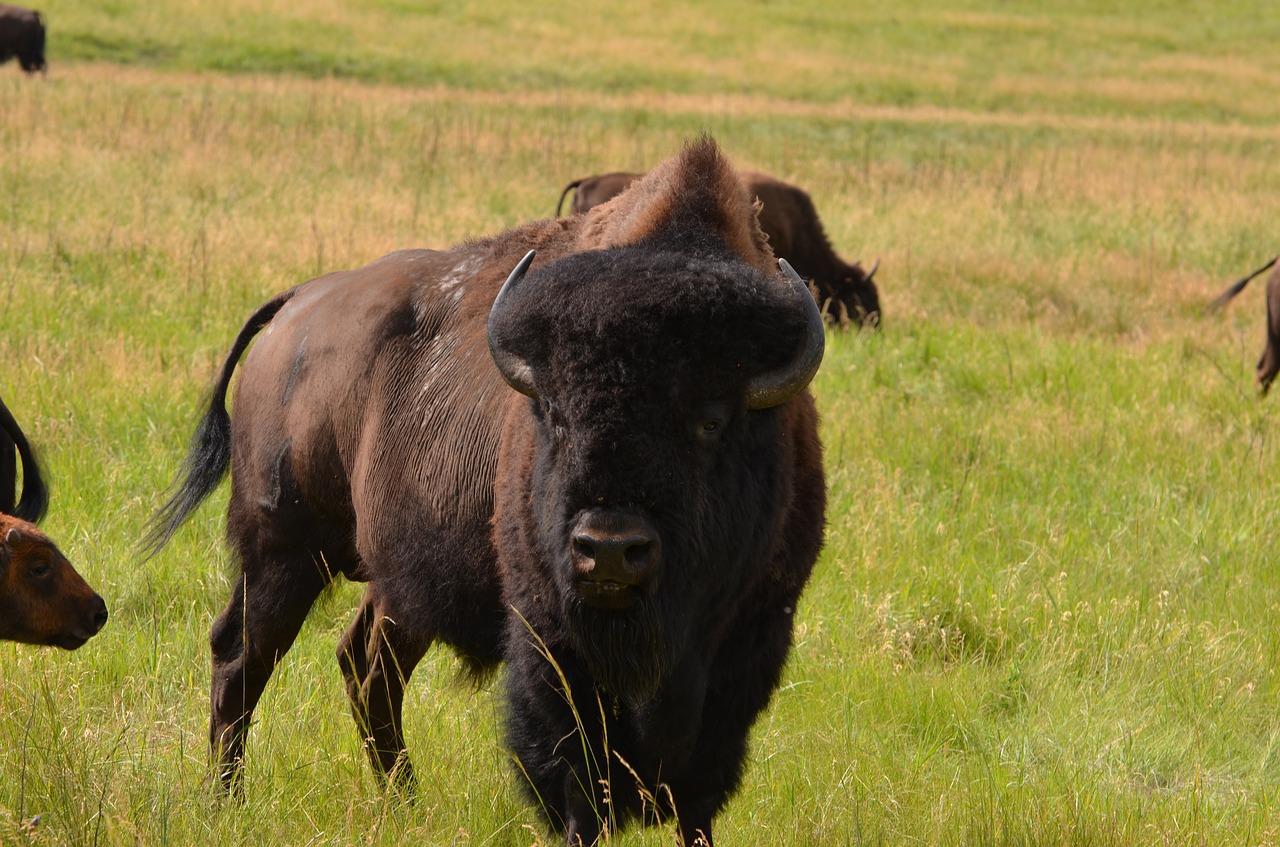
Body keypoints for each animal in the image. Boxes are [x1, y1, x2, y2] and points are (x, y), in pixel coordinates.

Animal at [147, 136, 829, 844]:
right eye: (554, 411)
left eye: (711, 420)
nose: (609, 550)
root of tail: (297, 305)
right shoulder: (549, 643)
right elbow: (575, 767)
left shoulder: (746, 643)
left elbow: (697, 784)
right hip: (282, 551)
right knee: (242, 656)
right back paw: (227, 802)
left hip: (392, 581)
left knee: (366, 666)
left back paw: (404, 803)